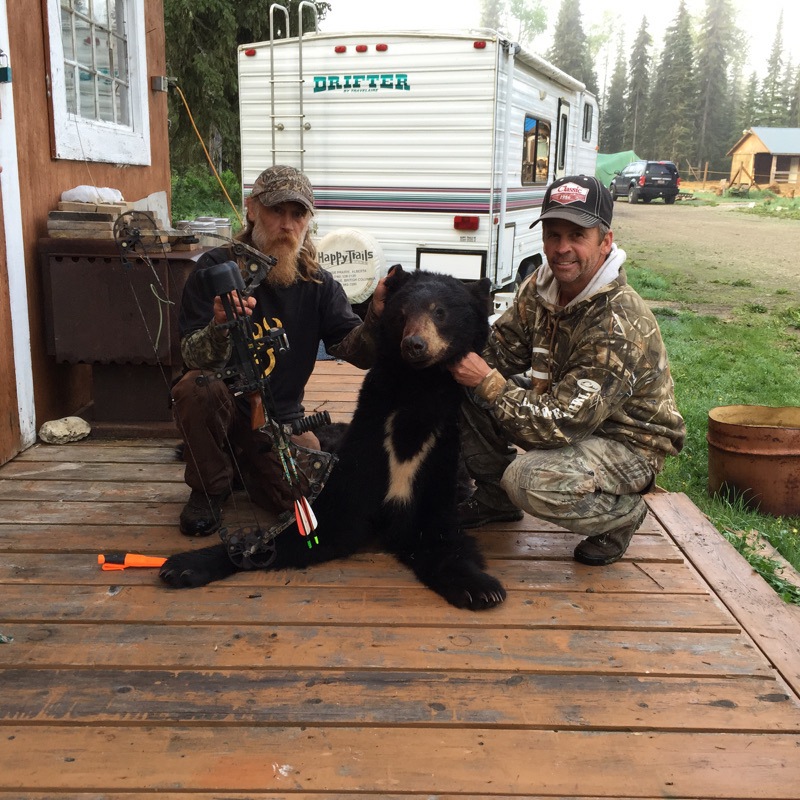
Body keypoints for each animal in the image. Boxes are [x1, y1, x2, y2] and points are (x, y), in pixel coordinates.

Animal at [159, 266, 506, 611]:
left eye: (440, 312)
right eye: (402, 314)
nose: (415, 344)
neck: (416, 391)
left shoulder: (437, 459)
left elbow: (438, 535)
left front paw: (481, 587)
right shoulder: (364, 450)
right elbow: (317, 527)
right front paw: (183, 565)